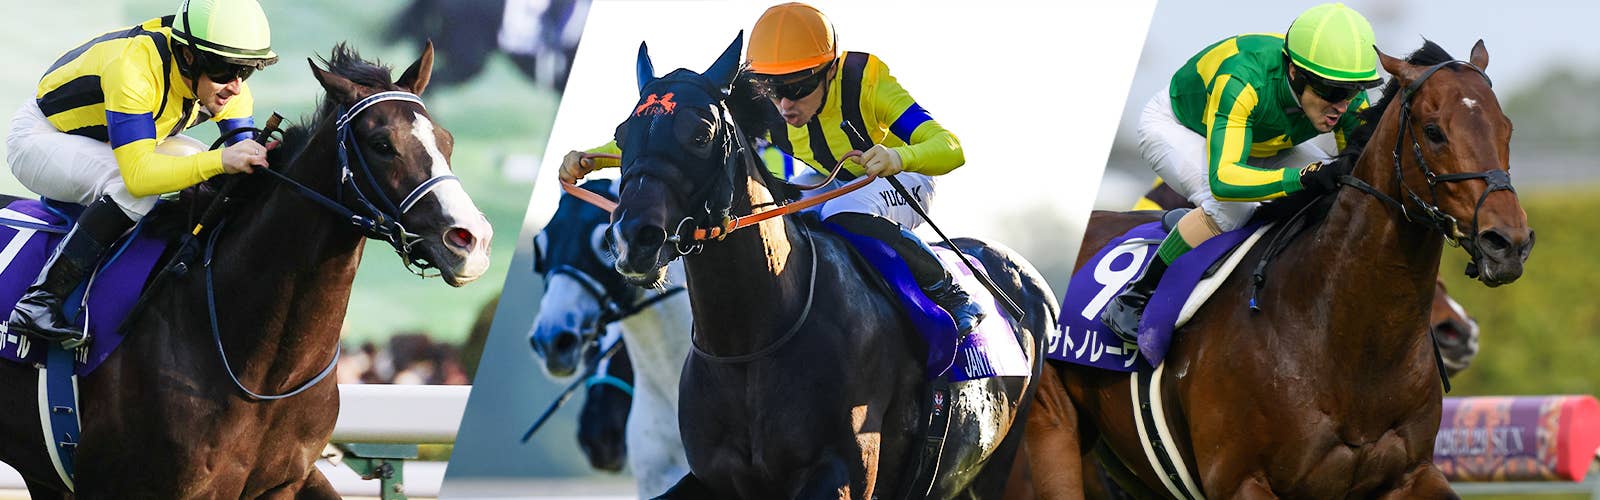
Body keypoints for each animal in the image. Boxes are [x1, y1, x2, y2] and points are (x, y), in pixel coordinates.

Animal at [606, 35, 1054, 499]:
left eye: (701, 134)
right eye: (621, 136)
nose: (632, 237)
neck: (747, 345)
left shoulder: (843, 472)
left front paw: (881, 161)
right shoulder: (713, 477)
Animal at [1026, 40, 1532, 498]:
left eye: (1507, 128)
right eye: (1433, 131)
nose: (1508, 243)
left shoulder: (1410, 474)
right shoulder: (1242, 482)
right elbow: (1227, 176)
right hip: (1054, 436)